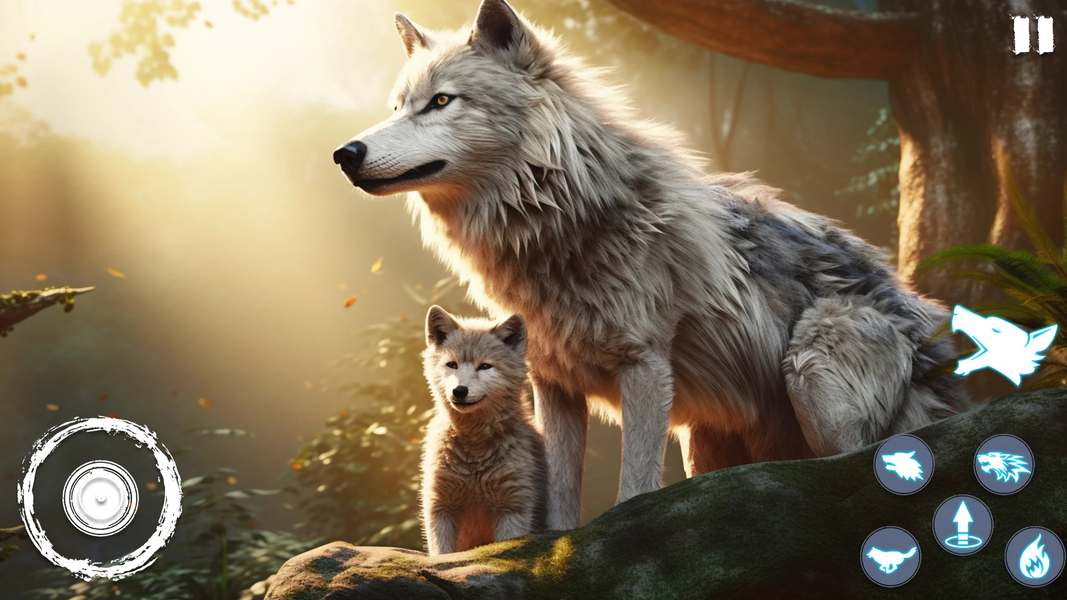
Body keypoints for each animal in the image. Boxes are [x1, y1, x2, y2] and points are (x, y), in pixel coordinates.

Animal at [334, 0, 968, 529]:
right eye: (397, 108)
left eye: (442, 101)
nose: (345, 153)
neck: (563, 223)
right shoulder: (553, 382)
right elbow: (559, 499)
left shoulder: (645, 367)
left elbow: (635, 490)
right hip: (705, 440)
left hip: (810, 372)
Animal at [420, 305, 548, 555]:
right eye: (452, 364)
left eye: (485, 366)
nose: (459, 391)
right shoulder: (439, 507)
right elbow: (441, 555)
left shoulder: (513, 508)